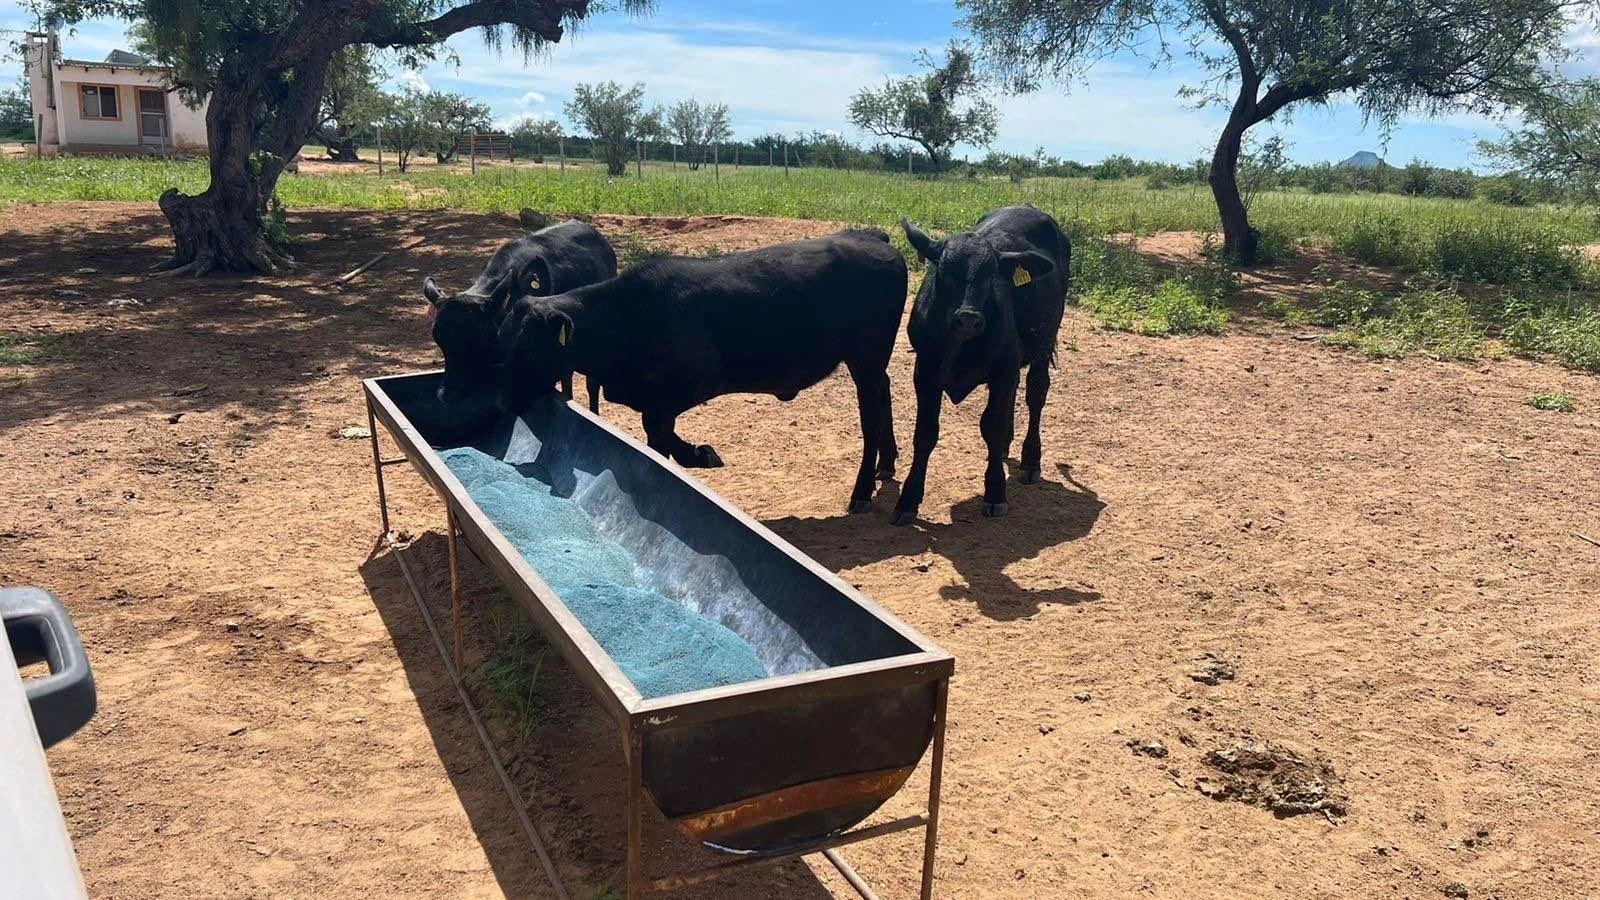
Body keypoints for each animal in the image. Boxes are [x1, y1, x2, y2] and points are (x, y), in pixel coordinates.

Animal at [433, 229, 909, 514]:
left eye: (528, 347)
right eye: (501, 339)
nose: (502, 400)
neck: (626, 314)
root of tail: (872, 236)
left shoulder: (684, 389)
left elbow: (660, 435)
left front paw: (698, 455)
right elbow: (656, 439)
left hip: (865, 359)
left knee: (871, 415)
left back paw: (862, 490)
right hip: (872, 364)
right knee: (884, 397)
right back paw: (886, 465)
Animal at [893, 205, 1070, 527]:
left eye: (990, 275)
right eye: (945, 271)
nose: (968, 318)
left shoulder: (1003, 370)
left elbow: (992, 427)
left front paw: (996, 492)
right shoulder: (925, 372)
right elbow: (925, 433)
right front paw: (908, 500)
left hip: (1043, 345)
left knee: (1035, 395)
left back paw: (1030, 461)